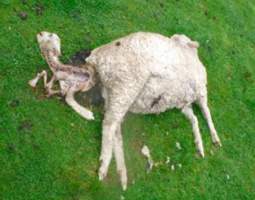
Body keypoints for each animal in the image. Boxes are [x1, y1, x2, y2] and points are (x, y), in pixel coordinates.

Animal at [84, 31, 222, 189]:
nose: (175, 39)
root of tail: (95, 57)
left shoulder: (186, 103)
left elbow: (197, 117)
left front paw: (202, 144)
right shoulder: (200, 92)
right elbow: (206, 112)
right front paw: (215, 138)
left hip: (116, 93)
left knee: (115, 129)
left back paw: (122, 174)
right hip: (128, 83)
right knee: (109, 125)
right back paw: (104, 167)